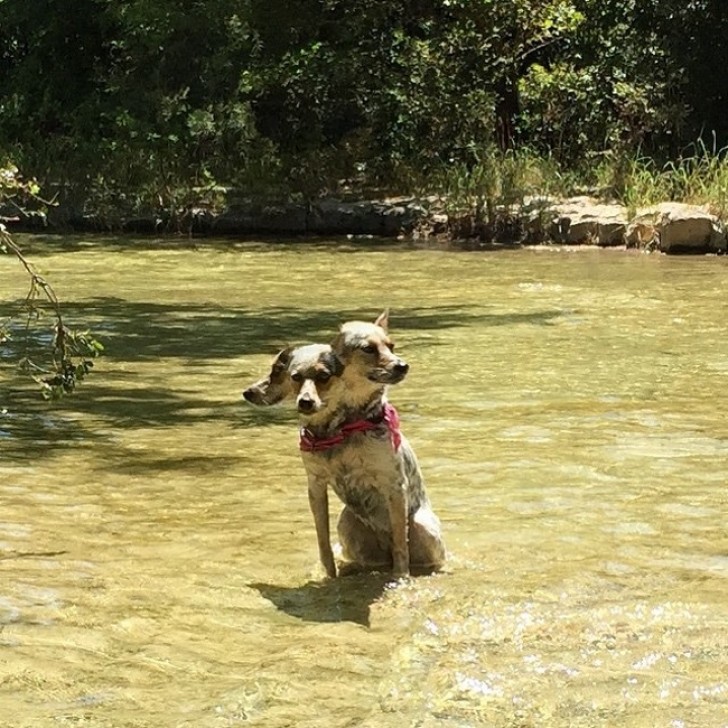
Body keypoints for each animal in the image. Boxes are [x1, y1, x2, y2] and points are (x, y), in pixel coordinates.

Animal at [245, 312, 446, 580]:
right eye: (368, 349)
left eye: (391, 346)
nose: (402, 365)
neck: (341, 428)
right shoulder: (315, 486)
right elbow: (323, 543)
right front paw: (327, 576)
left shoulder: (393, 484)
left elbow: (401, 547)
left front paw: (400, 579)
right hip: (347, 522)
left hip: (421, 527)